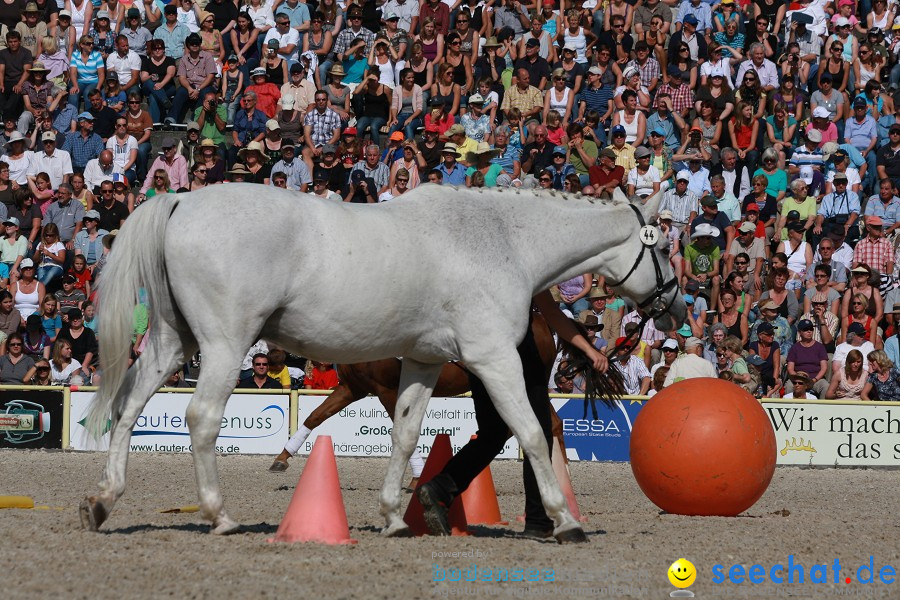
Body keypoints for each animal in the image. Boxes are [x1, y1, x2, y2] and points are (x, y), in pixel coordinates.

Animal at [268, 312, 564, 476]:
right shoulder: (353, 389)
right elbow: (315, 416)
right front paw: (282, 458)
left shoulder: (387, 390)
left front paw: (416, 476)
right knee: (553, 424)